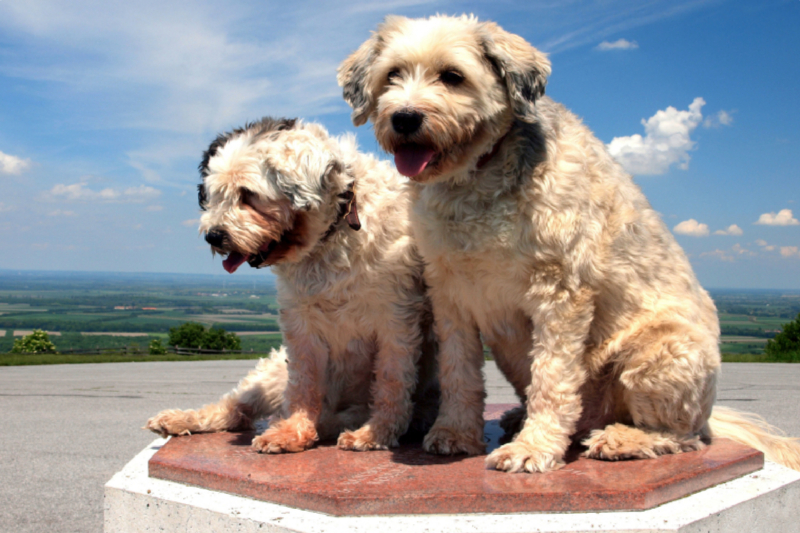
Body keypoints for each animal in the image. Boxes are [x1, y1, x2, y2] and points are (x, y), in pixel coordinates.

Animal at [142, 118, 438, 450]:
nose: (214, 236)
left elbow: (391, 379)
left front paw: (376, 434)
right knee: (235, 408)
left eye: (247, 194)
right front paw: (292, 431)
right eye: (215, 194)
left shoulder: (396, 318)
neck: (333, 236)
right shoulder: (301, 324)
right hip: (271, 374)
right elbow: (304, 382)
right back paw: (179, 419)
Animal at [340, 14, 800, 472]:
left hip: (663, 351)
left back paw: (622, 438)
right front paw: (455, 434)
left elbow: (552, 376)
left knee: (685, 436)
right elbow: (459, 371)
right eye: (392, 74)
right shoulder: (451, 294)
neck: (475, 179)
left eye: (453, 76)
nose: (404, 118)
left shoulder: (560, 291)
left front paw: (532, 448)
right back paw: (521, 418)